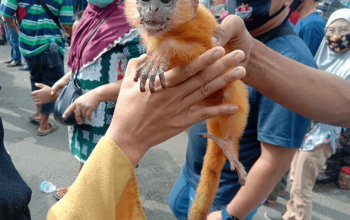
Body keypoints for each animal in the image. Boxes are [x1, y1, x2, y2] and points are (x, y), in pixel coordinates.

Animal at [125, 0, 249, 219]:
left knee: (232, 89)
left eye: (166, 2)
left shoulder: (201, 28)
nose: (153, 9)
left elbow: (209, 53)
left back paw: (228, 145)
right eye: (145, 2)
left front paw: (163, 51)